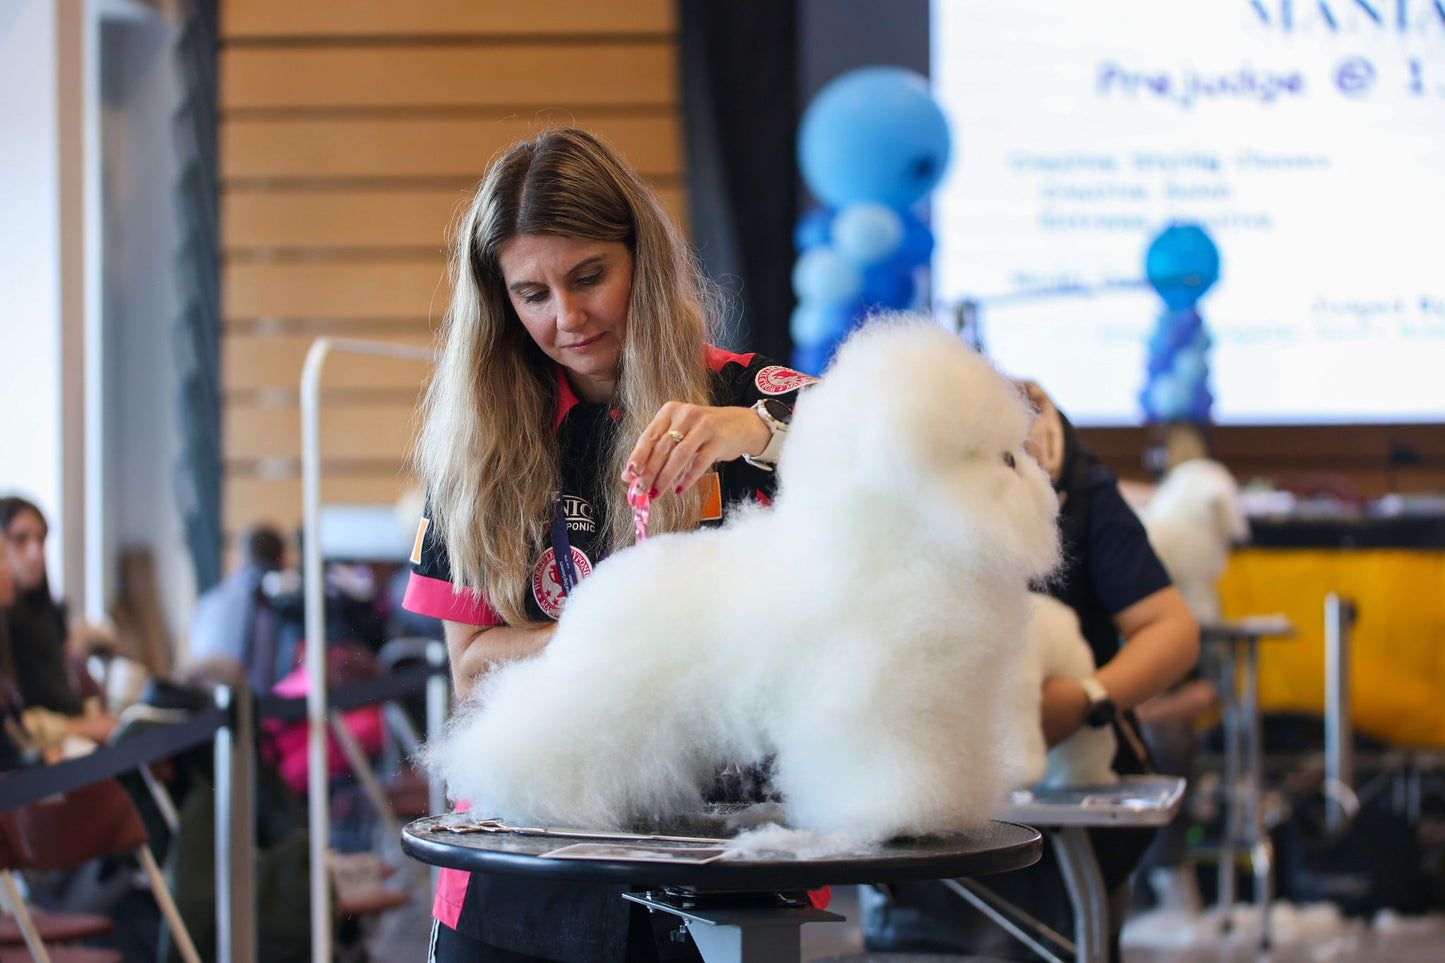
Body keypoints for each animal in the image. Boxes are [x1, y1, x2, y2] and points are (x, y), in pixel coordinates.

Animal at [424, 321, 1063, 838]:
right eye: (997, 459)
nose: (1033, 475)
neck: (897, 539)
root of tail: (614, 576)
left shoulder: (941, 707)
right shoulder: (874, 704)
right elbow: (881, 765)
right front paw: (893, 817)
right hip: (593, 697)